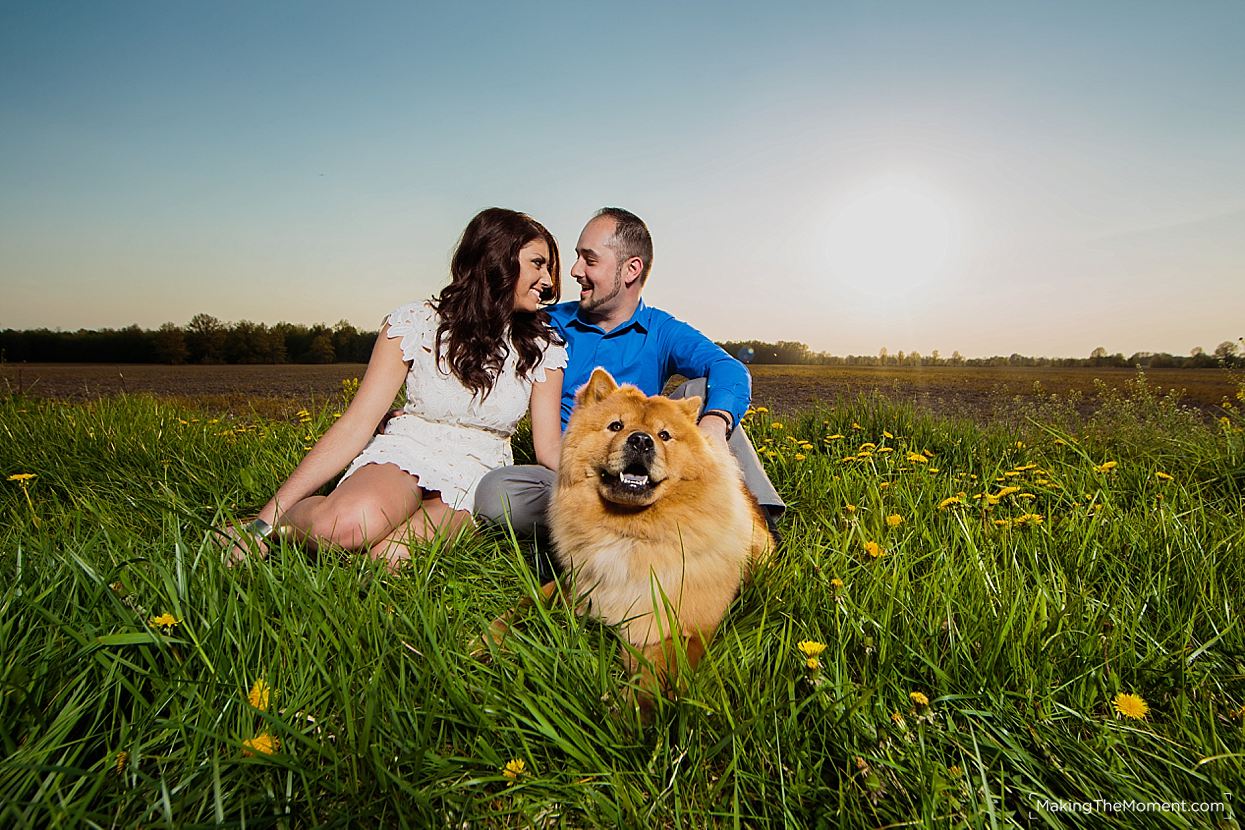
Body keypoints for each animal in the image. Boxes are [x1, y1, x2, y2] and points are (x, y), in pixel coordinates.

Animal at [483, 365, 766, 716]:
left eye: (664, 435)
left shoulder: (678, 628)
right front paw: (487, 640)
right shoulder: (575, 584)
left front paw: (625, 718)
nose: (641, 440)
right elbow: (527, 604)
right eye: (616, 426)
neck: (628, 532)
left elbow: (655, 682)